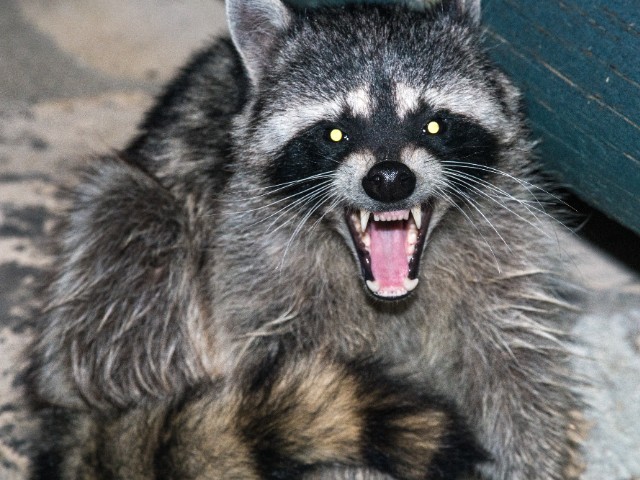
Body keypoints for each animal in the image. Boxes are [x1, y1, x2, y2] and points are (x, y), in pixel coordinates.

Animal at [30, 0, 582, 479]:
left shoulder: (503, 257)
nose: (389, 179)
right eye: (335, 133)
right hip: (131, 238)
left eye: (433, 124)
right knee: (129, 222)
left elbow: (517, 373)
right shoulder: (256, 279)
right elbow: (304, 394)